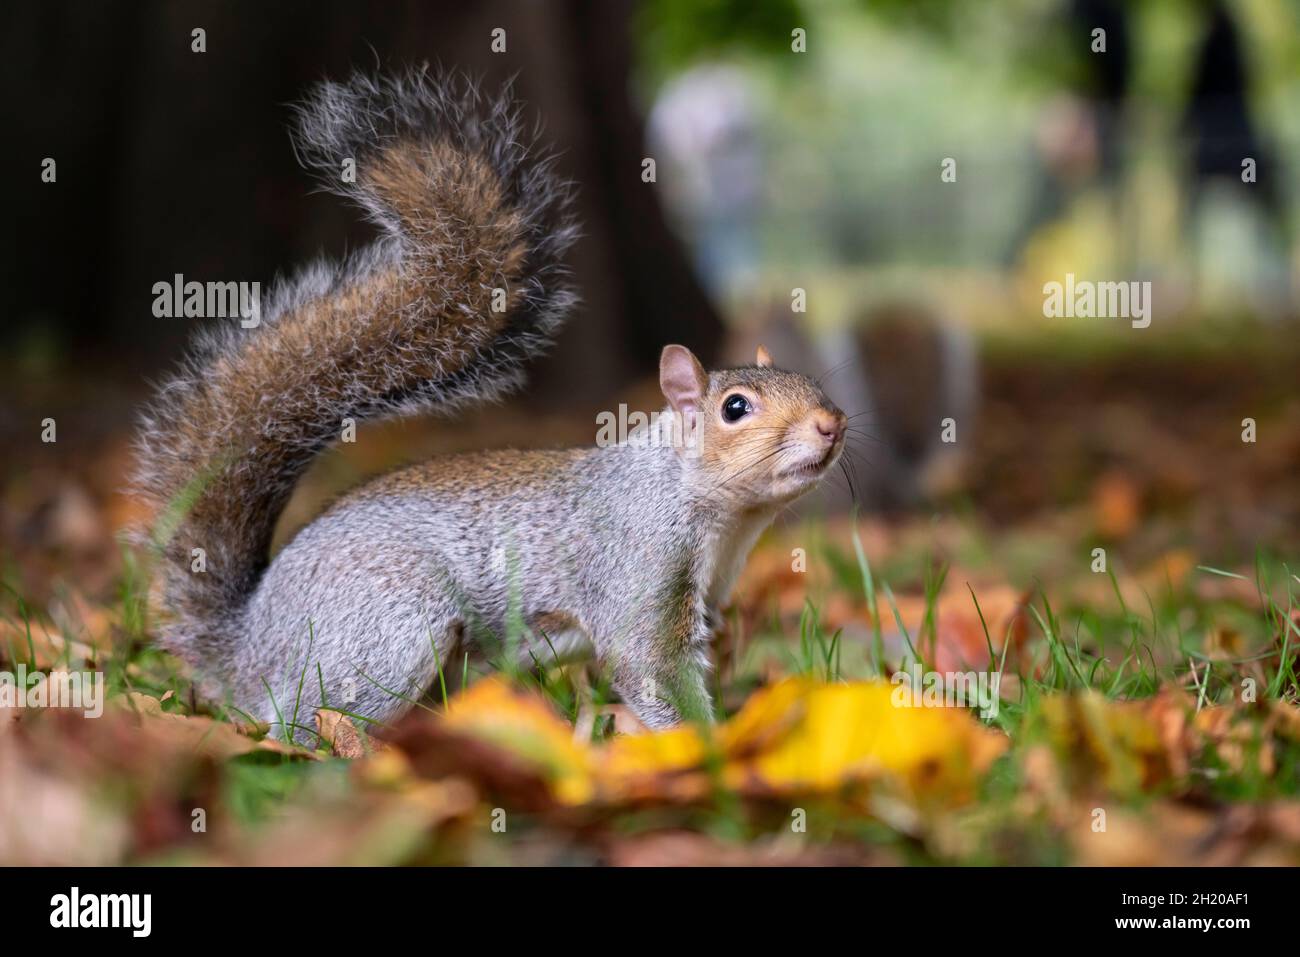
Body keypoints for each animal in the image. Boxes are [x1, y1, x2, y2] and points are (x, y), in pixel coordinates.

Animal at [133, 68, 847, 741]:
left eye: (813, 382)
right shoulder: (637, 562)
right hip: (387, 627)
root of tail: (250, 645)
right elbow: (650, 669)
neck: (712, 510)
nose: (831, 423)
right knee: (307, 724)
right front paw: (707, 750)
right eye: (735, 408)